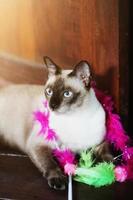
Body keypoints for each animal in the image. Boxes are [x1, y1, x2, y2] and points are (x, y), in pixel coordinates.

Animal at [0, 57, 111, 190]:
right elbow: (50, 164)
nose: (52, 106)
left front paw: (110, 168)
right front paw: (58, 179)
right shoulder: (38, 145)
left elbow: (107, 153)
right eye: (49, 91)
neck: (75, 117)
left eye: (67, 94)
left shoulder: (99, 142)